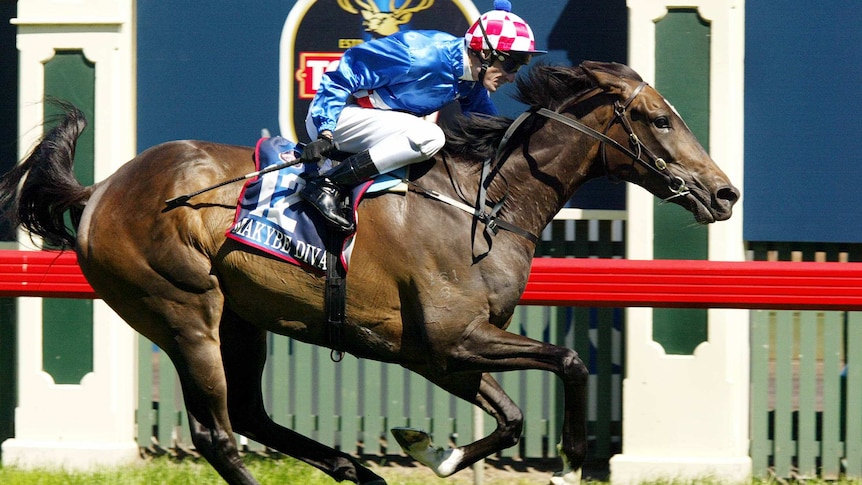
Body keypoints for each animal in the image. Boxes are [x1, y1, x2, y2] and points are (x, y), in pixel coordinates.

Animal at [0, 61, 744, 484]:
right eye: (659, 118)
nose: (725, 192)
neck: (484, 203)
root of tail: (102, 189)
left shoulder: (439, 352)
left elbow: (508, 418)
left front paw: (432, 452)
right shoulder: (452, 339)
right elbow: (571, 360)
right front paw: (571, 459)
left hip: (242, 319)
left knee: (252, 414)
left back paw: (355, 469)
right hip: (184, 312)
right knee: (218, 432)